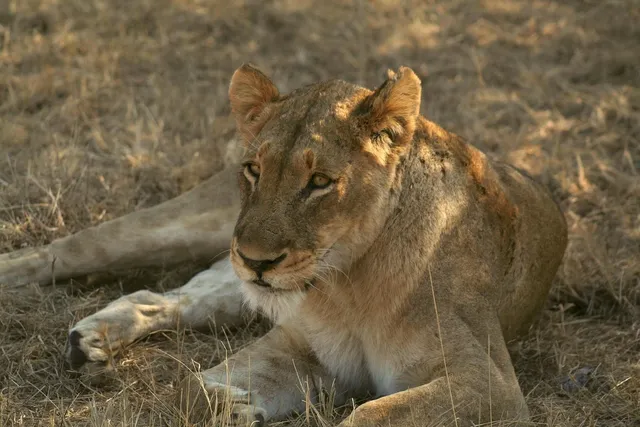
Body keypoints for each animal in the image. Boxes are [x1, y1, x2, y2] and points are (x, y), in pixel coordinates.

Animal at [0, 64, 568, 426]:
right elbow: (191, 389)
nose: (256, 260)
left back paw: (92, 341)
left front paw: (240, 406)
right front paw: (231, 404)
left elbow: (373, 414)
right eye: (254, 169)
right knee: (76, 247)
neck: (349, 283)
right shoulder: (298, 343)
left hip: (230, 287)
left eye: (319, 182)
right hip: (192, 230)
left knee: (160, 298)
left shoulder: (488, 384)